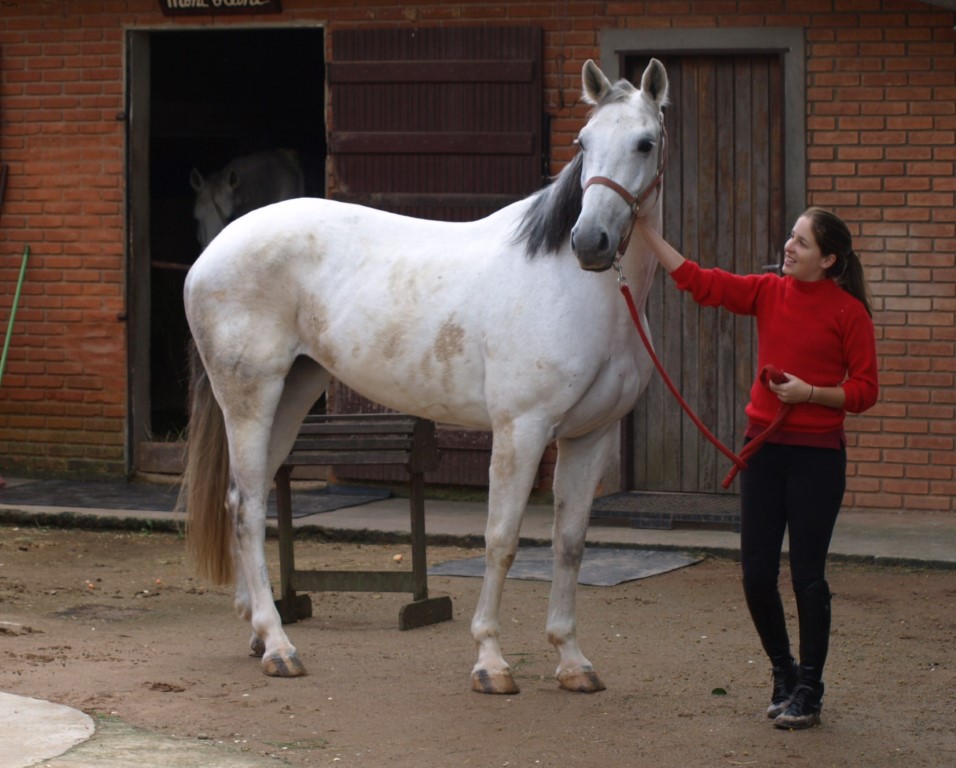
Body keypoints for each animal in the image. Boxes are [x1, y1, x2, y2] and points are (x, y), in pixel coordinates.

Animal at [183, 60, 668, 692]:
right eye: (583, 143)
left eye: (645, 142)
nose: (590, 242)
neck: (580, 290)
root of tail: (212, 252)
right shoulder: (522, 430)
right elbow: (501, 540)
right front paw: (490, 662)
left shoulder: (590, 437)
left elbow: (569, 544)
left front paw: (571, 660)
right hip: (249, 399)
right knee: (244, 508)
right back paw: (280, 647)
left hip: (292, 394)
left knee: (251, 495)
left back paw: (259, 634)